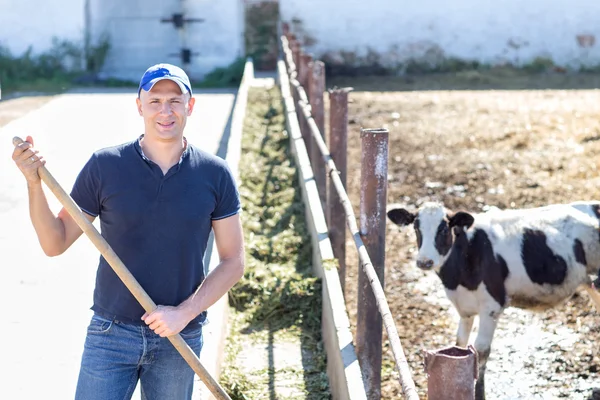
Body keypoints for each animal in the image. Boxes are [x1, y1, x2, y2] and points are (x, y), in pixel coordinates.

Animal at [386, 202, 600, 398]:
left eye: (444, 228)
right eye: (416, 227)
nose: (424, 261)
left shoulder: (492, 307)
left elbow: (480, 351)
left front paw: (479, 393)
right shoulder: (464, 308)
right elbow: (460, 343)